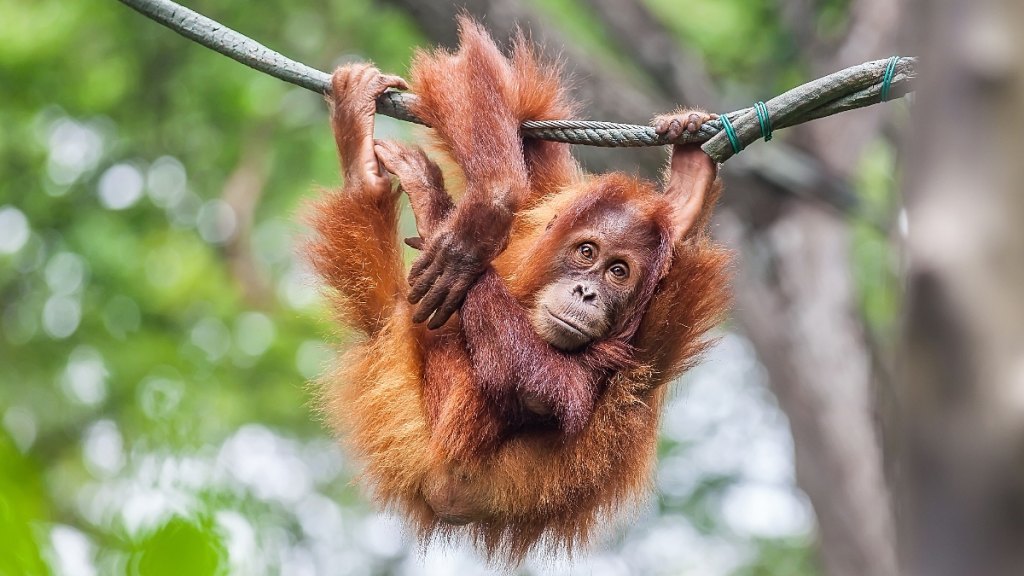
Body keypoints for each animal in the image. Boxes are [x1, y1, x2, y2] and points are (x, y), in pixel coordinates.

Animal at [306, 18, 730, 562]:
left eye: (619, 272)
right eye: (587, 253)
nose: (587, 294)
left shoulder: (635, 343)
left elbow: (548, 389)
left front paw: (451, 221)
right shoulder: (553, 199)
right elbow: (483, 88)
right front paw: (487, 205)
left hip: (410, 415)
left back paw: (377, 181)